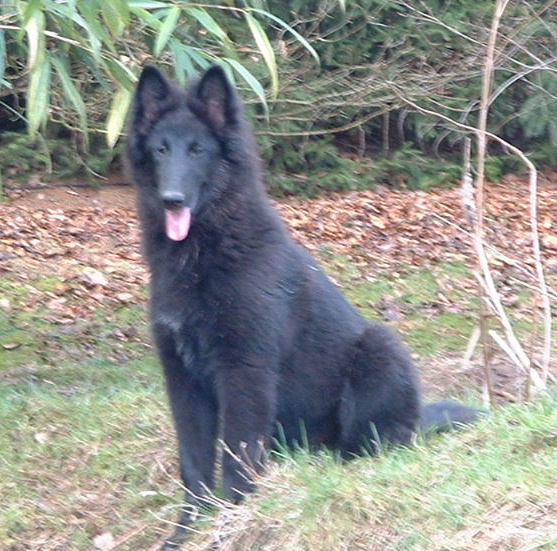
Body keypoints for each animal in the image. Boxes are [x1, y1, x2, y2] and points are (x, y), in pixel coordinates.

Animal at [126, 64, 478, 548]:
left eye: (198, 150)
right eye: (161, 150)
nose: (171, 200)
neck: (202, 256)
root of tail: (417, 419)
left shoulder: (245, 371)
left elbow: (237, 456)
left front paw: (231, 523)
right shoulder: (182, 378)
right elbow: (194, 464)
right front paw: (186, 531)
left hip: (381, 350)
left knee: (373, 443)